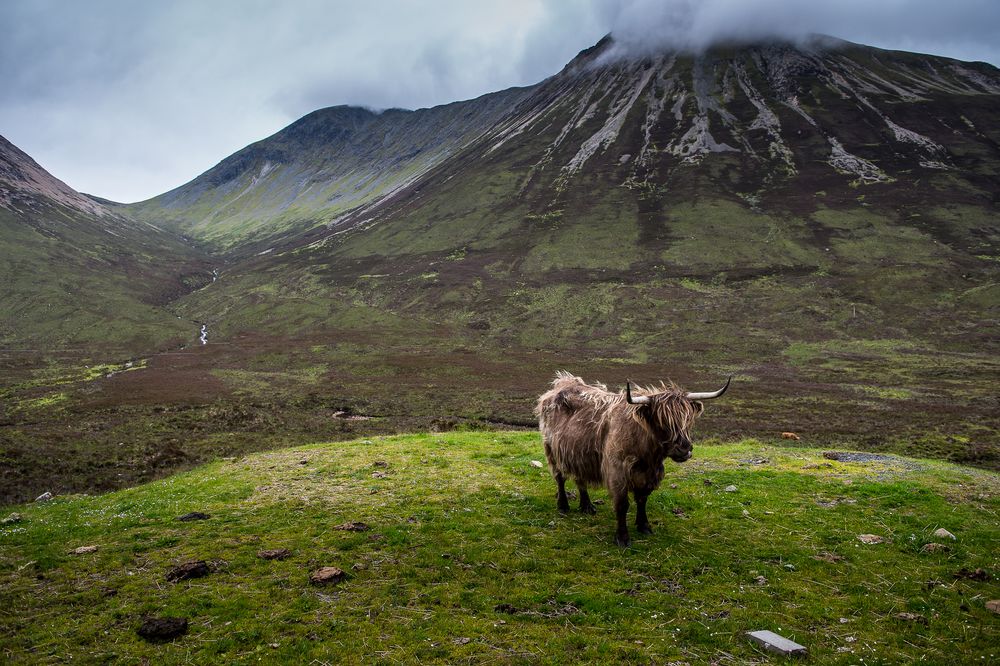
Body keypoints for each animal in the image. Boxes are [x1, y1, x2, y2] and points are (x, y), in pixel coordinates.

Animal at [536, 368, 732, 544]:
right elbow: (622, 505)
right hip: (551, 450)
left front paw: (644, 526)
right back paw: (563, 506)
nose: (684, 449)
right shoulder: (617, 472)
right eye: (661, 421)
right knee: (560, 477)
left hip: (577, 453)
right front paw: (622, 537)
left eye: (688, 419)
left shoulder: (649, 475)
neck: (648, 456)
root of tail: (563, 381)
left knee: (580, 478)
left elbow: (642, 499)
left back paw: (587, 506)